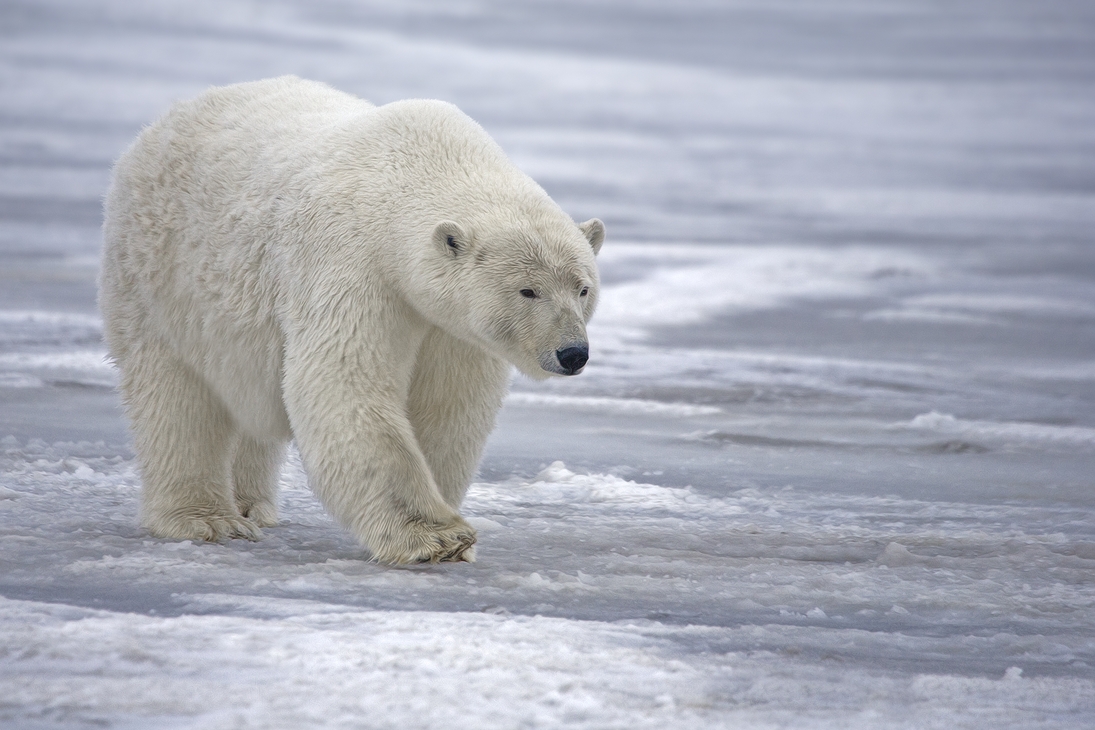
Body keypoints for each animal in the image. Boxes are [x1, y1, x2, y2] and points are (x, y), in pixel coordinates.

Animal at [98, 77, 604, 564]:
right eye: (528, 290)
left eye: (583, 288)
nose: (572, 353)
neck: (410, 175)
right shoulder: (352, 264)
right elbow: (342, 381)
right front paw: (436, 537)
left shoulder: (450, 326)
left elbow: (447, 408)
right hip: (159, 277)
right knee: (177, 399)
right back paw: (208, 519)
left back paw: (250, 505)